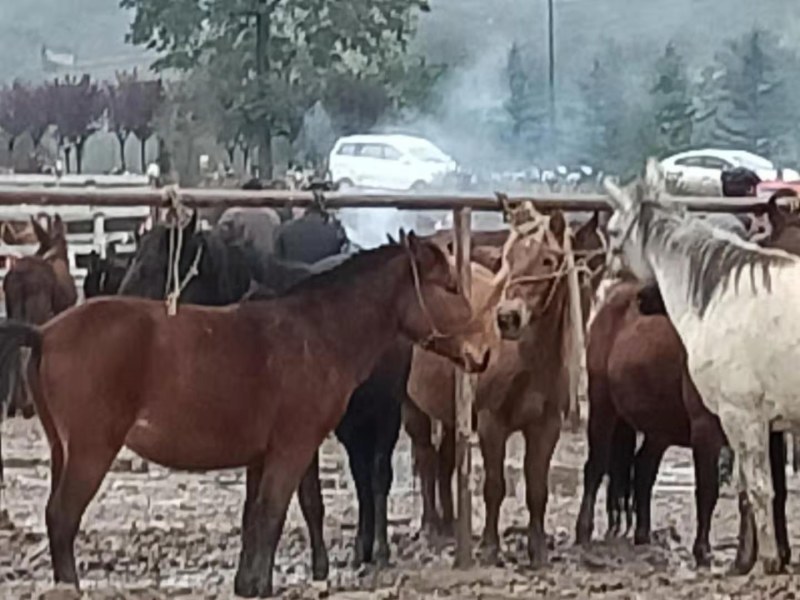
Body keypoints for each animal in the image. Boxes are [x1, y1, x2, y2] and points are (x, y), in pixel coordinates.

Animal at [0, 233, 497, 597]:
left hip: (63, 450)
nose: (483, 352)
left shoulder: (262, 454)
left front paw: (248, 583)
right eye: (450, 287)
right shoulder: (293, 448)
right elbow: (273, 513)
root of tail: (45, 333)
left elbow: (252, 517)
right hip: (91, 451)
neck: (316, 333)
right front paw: (262, 585)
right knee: (62, 518)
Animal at [405, 207, 605, 567]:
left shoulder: (546, 426)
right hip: (413, 406)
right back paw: (429, 527)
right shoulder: (491, 423)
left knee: (444, 462)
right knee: (426, 458)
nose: (508, 318)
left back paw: (449, 524)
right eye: (507, 259)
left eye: (548, 260)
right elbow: (494, 486)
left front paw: (538, 550)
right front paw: (489, 547)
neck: (525, 358)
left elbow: (537, 487)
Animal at [603, 158, 800, 575]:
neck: (720, 297)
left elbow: (757, 489)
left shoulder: (741, 417)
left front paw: (766, 561)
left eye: (613, 230)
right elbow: (751, 490)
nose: (613, 281)